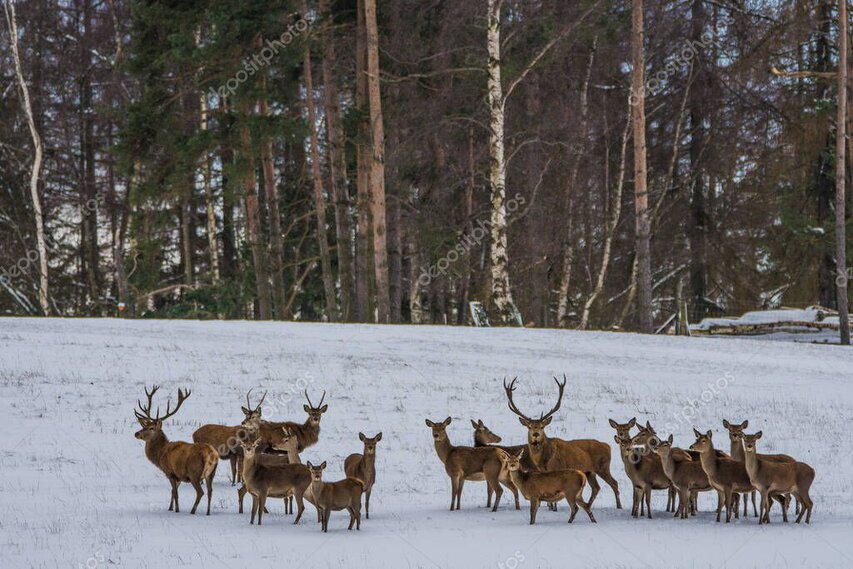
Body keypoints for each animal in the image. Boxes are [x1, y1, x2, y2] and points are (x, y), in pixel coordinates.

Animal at [134, 385, 219, 515]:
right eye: (144, 426)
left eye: (151, 428)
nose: (136, 433)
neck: (160, 455)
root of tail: (211, 455)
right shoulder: (179, 476)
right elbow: (172, 492)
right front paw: (170, 507)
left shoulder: (170, 472)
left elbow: (175, 493)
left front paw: (176, 510)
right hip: (211, 474)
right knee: (210, 491)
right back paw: (208, 512)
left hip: (194, 473)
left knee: (201, 492)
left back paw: (192, 511)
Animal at [504, 376, 621, 509]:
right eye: (529, 426)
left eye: (542, 426)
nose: (536, 434)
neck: (543, 460)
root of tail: (608, 446)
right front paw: (550, 507)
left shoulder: (556, 467)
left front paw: (553, 508)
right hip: (589, 471)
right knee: (596, 487)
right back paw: (589, 505)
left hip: (603, 466)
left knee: (614, 483)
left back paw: (619, 506)